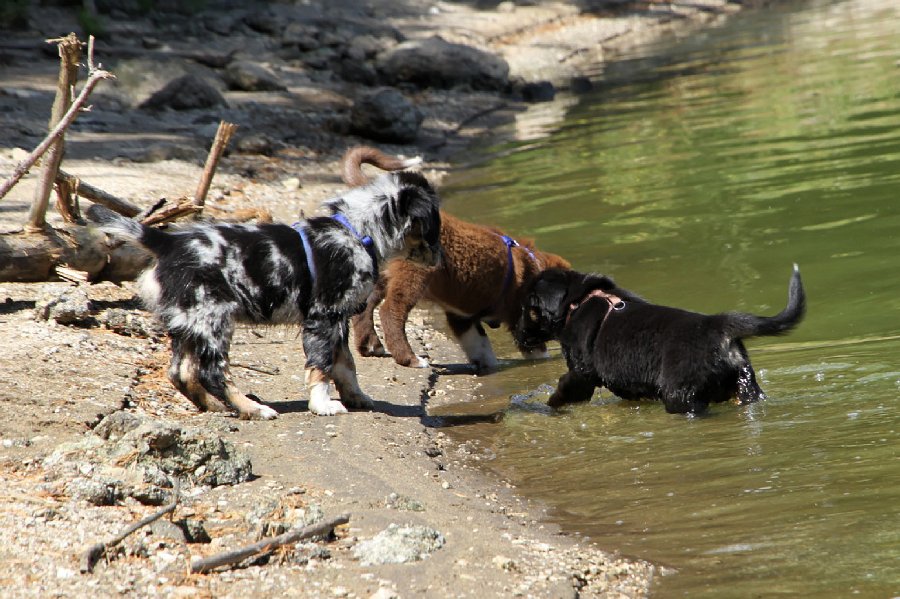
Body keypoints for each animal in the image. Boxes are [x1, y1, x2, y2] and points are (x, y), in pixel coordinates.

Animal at [87, 166, 440, 418]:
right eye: (434, 226)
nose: (440, 261)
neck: (356, 232)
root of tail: (168, 242)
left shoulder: (339, 320)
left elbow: (346, 365)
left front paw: (357, 397)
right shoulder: (324, 318)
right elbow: (322, 366)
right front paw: (323, 405)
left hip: (188, 322)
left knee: (181, 372)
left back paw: (218, 407)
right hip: (214, 319)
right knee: (212, 372)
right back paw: (252, 409)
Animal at [342, 146, 571, 373]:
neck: (534, 265)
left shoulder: (462, 318)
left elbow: (480, 346)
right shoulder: (518, 317)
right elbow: (533, 348)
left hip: (379, 275)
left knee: (365, 308)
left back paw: (371, 345)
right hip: (414, 275)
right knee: (390, 311)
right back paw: (410, 359)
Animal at [515, 265, 806, 414]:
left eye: (528, 307)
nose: (518, 334)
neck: (577, 301)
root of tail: (718, 324)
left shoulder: (582, 372)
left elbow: (566, 387)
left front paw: (549, 404)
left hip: (680, 393)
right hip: (746, 385)